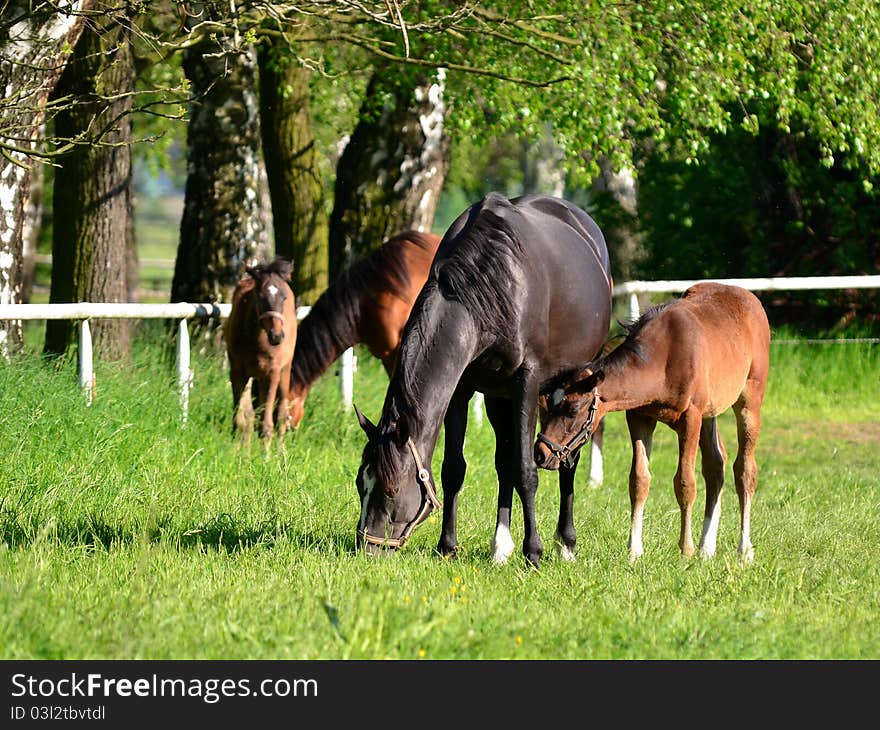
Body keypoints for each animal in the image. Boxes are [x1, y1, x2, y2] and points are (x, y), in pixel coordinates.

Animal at [223, 258, 300, 446]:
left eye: (284, 297)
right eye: (260, 295)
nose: (277, 335)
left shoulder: (273, 373)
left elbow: (267, 425)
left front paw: (266, 455)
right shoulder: (237, 372)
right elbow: (241, 421)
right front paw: (239, 452)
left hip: (284, 371)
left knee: (280, 415)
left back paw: (280, 451)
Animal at [350, 191, 612, 564]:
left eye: (390, 489)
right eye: (361, 482)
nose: (368, 549)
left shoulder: (527, 385)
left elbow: (526, 471)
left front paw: (533, 552)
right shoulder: (463, 390)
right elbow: (454, 469)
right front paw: (447, 546)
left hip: (569, 387)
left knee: (567, 459)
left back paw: (565, 544)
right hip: (496, 396)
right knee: (504, 461)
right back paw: (500, 546)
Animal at [532, 282, 768, 560]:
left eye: (572, 409)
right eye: (547, 406)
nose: (541, 453)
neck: (664, 357)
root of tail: (749, 297)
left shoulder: (691, 418)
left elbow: (685, 482)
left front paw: (685, 549)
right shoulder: (639, 418)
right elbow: (639, 480)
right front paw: (634, 550)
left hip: (749, 403)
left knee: (744, 470)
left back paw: (744, 550)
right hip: (710, 413)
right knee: (715, 464)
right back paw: (706, 548)